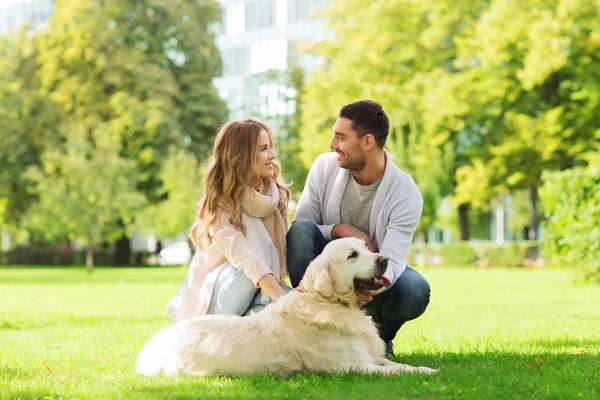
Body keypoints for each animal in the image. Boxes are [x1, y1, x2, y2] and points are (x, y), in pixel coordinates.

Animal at [136, 239, 436, 376]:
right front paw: (428, 372)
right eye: (352, 255)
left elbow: (398, 364)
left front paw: (424, 369)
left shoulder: (370, 357)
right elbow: (395, 370)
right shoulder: (355, 366)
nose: (384, 259)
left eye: (366, 248)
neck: (327, 302)